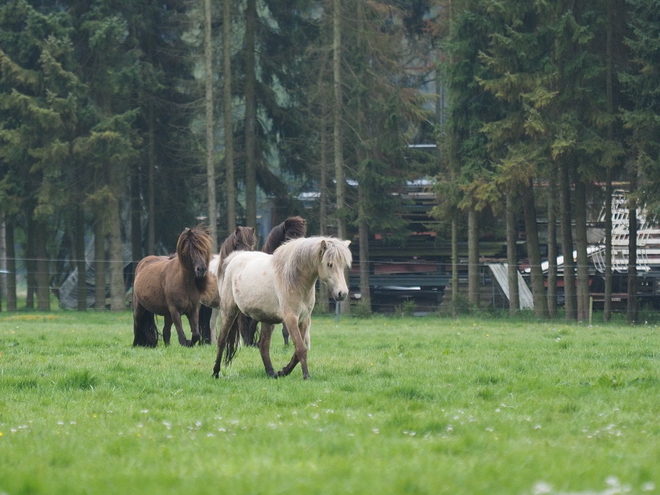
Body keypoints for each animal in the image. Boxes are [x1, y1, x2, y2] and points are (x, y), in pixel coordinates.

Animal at [214, 236, 354, 380]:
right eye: (329, 264)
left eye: (343, 265)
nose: (342, 293)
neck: (294, 280)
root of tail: (235, 257)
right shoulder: (290, 318)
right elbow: (301, 349)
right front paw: (306, 376)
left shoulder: (303, 320)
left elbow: (297, 351)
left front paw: (283, 371)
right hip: (229, 312)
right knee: (222, 340)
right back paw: (215, 372)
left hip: (267, 319)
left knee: (263, 346)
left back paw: (271, 373)